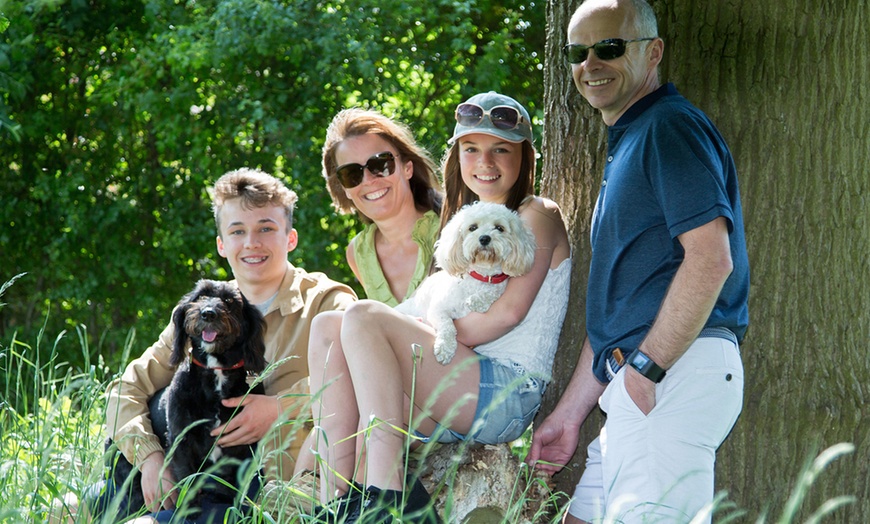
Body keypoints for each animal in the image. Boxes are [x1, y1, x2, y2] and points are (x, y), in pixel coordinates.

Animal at [104, 278, 266, 516]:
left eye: (229, 300)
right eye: (200, 296)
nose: (208, 313)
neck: (215, 371)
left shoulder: (243, 447)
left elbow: (232, 487)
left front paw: (229, 507)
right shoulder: (182, 439)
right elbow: (187, 478)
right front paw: (188, 511)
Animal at [396, 201, 536, 364]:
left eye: (499, 228)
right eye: (473, 227)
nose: (484, 238)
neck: (480, 276)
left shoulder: (497, 286)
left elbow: (492, 292)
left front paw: (476, 301)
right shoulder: (437, 310)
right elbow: (448, 326)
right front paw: (445, 348)